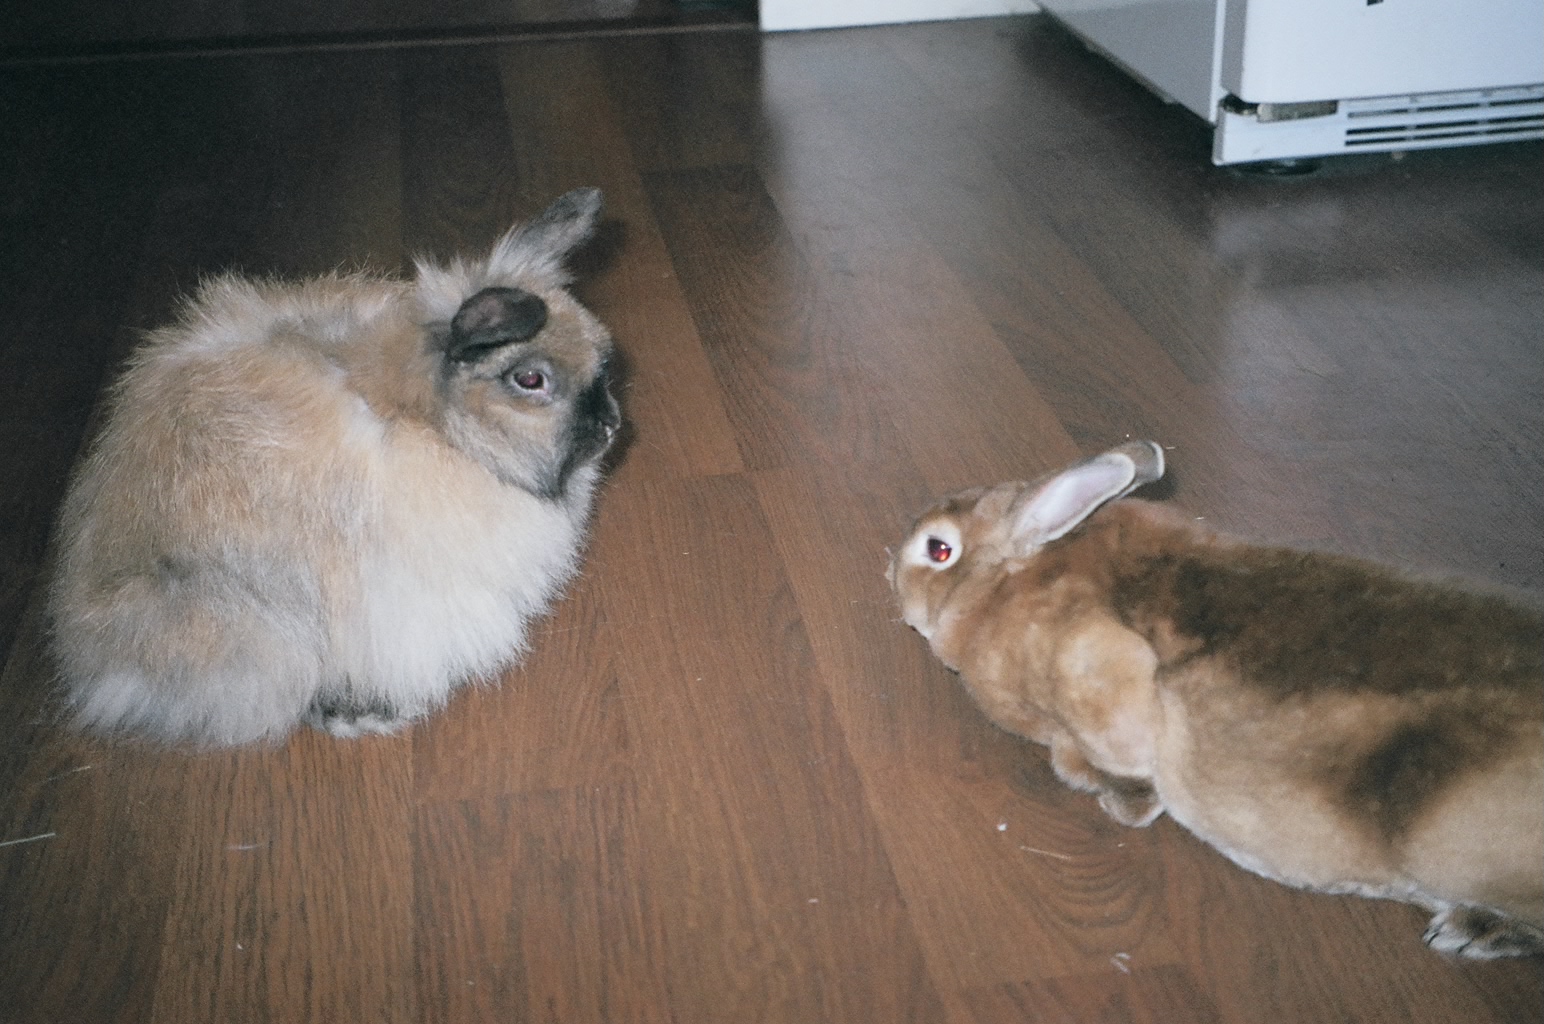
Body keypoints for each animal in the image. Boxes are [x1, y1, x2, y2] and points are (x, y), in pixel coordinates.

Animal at [889, 440, 1544, 959]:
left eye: (938, 550)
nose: (888, 575)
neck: (1009, 579)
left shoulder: (1096, 670)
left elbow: (1115, 760)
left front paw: (1121, 804)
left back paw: (1469, 931)